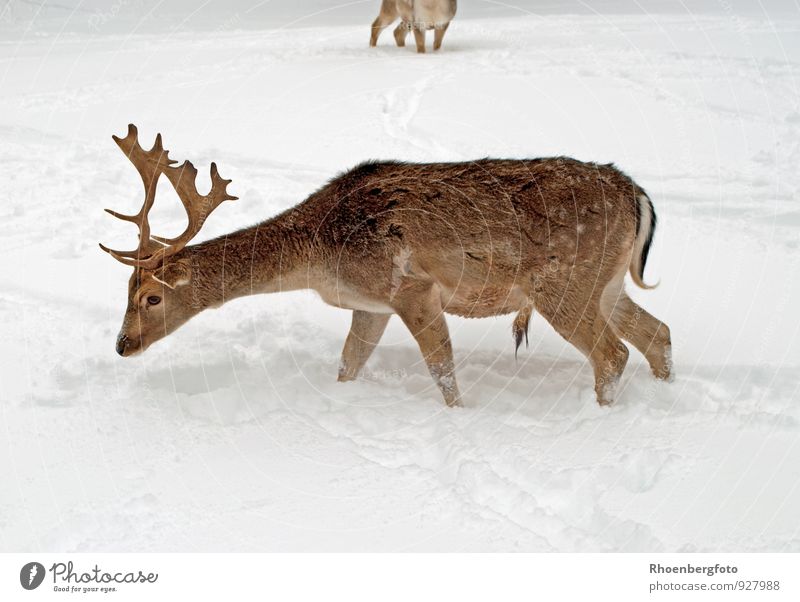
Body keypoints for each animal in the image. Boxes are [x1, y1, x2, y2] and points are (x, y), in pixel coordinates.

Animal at [101, 126, 676, 408]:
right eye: (122, 291)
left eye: (151, 297)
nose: (122, 345)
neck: (319, 255)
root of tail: (638, 196)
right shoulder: (370, 305)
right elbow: (348, 364)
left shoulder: (409, 287)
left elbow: (442, 370)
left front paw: (459, 417)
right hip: (605, 284)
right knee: (658, 333)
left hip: (564, 282)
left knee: (613, 354)